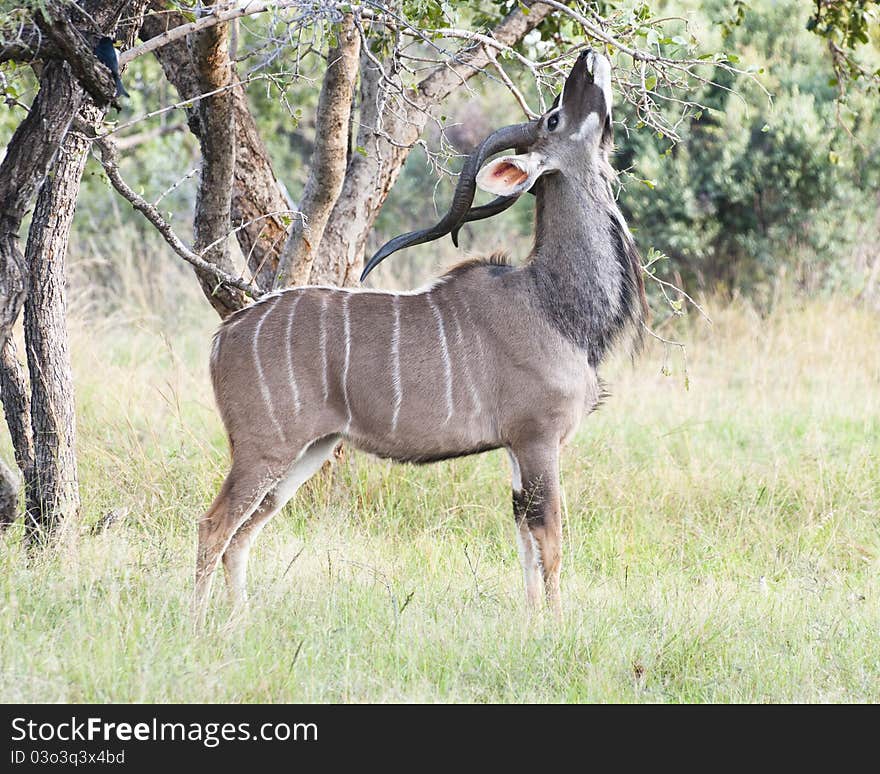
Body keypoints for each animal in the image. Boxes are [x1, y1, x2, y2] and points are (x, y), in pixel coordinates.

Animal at [196, 51, 644, 620]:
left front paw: (531, 622)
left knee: (246, 529)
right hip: (264, 448)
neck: (552, 304)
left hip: (309, 450)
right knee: (215, 525)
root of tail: (223, 335)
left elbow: (525, 540)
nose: (589, 57)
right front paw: (557, 626)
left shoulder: (518, 448)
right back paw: (198, 623)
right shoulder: (538, 438)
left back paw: (239, 620)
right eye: (553, 118)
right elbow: (551, 540)